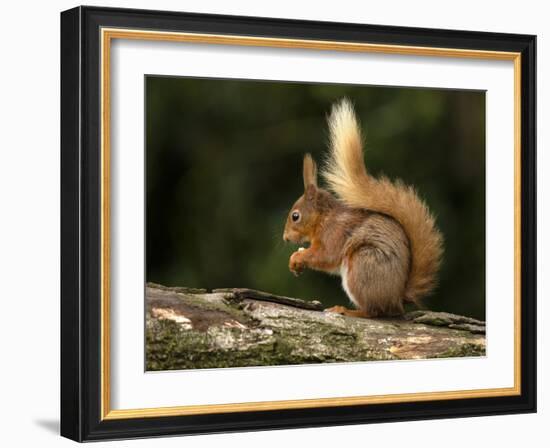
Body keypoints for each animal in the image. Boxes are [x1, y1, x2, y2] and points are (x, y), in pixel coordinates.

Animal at [284, 100, 444, 318]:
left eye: (295, 216)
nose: (285, 238)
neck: (324, 218)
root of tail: (397, 299)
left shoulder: (335, 233)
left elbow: (326, 256)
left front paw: (297, 257)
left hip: (362, 266)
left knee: (373, 312)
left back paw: (346, 310)